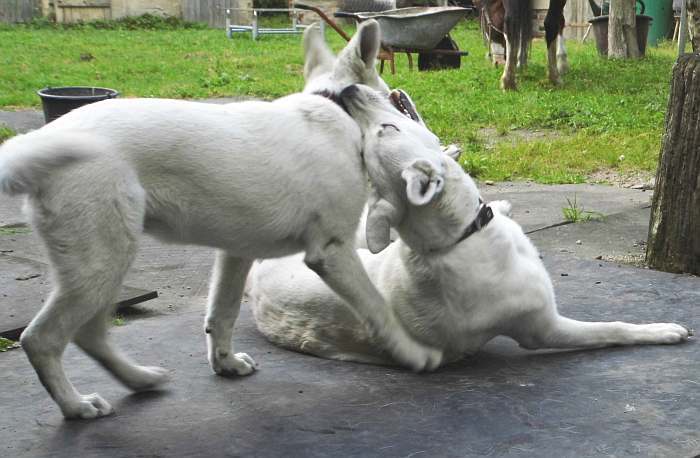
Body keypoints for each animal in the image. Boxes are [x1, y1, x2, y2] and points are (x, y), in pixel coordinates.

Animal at [0, 19, 442, 420]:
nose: (404, 96)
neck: (337, 112)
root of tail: (36, 140)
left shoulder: (235, 252)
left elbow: (221, 312)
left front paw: (225, 363)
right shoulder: (332, 253)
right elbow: (378, 308)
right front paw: (414, 354)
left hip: (103, 263)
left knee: (89, 334)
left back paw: (140, 379)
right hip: (103, 261)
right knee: (42, 339)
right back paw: (76, 405)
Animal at [249, 84, 692, 366]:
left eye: (378, 134)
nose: (343, 92)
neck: (462, 235)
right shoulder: (544, 328)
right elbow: (613, 328)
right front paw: (662, 330)